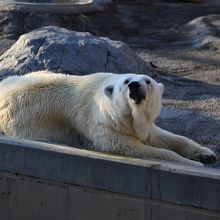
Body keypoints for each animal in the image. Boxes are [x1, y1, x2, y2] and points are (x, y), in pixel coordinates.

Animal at [0, 71, 216, 166]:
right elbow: (132, 147)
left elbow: (162, 136)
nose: (135, 85)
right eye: (127, 81)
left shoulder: (143, 124)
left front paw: (206, 154)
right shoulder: (102, 125)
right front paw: (192, 163)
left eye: (147, 80)